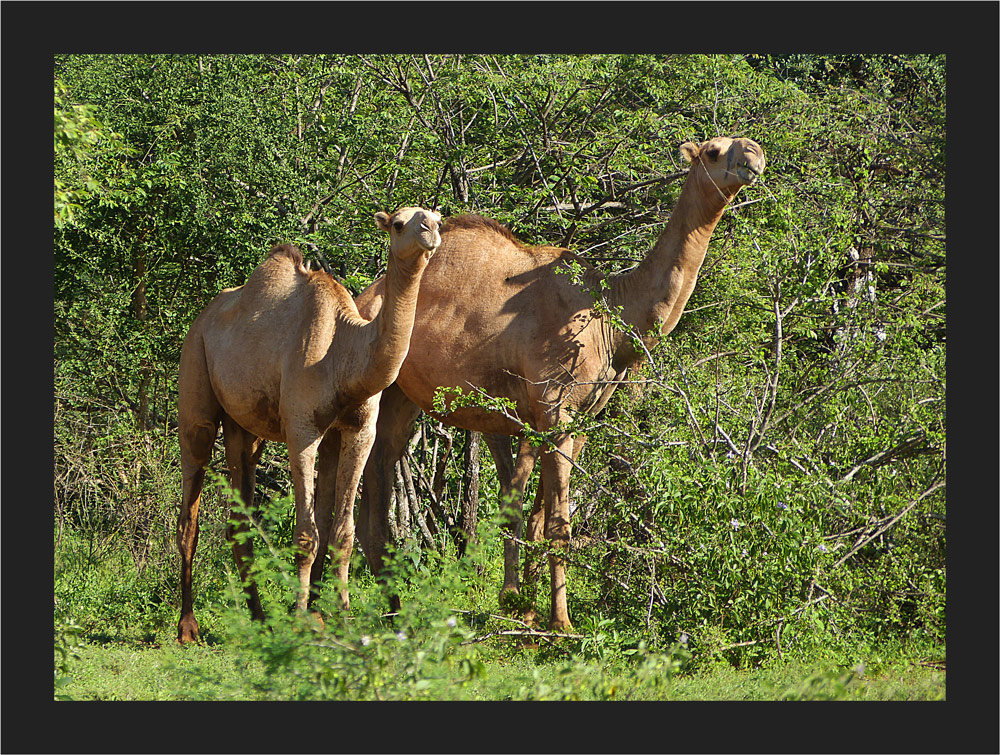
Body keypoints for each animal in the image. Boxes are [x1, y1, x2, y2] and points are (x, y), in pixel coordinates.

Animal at [174, 207, 440, 644]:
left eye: (438, 218)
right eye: (399, 223)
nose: (429, 231)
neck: (343, 354)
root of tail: (202, 317)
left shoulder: (359, 432)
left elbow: (342, 532)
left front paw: (342, 616)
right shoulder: (301, 432)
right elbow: (306, 534)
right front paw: (300, 616)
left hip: (244, 427)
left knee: (239, 511)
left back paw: (258, 617)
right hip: (195, 377)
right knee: (189, 510)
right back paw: (187, 627)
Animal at [356, 137, 760, 632]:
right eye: (715, 151)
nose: (754, 156)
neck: (612, 317)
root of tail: (364, 298)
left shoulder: (581, 418)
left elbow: (536, 514)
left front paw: (525, 606)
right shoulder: (554, 409)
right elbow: (558, 526)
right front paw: (561, 622)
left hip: (404, 397)